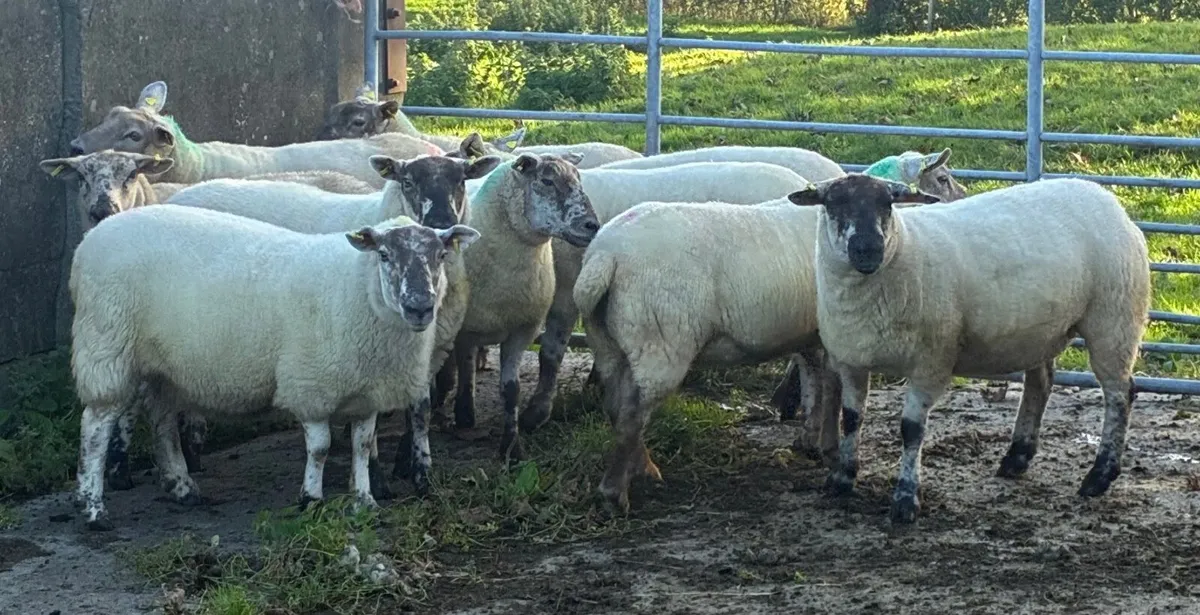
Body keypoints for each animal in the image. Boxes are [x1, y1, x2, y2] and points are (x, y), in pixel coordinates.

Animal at [70, 203, 479, 530]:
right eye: (383, 255)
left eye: (440, 255)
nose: (419, 306)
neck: (357, 290)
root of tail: (88, 241)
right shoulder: (311, 383)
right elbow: (321, 447)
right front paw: (311, 499)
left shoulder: (367, 389)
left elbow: (362, 446)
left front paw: (365, 501)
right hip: (107, 344)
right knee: (96, 428)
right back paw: (93, 509)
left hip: (163, 365)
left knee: (163, 421)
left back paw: (181, 487)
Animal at [426, 153, 600, 467]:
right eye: (546, 181)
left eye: (579, 178)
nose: (592, 225)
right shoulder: (465, 327)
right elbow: (463, 365)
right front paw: (463, 412)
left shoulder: (522, 329)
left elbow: (511, 390)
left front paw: (512, 448)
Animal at [788, 175, 1150, 524]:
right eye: (833, 204)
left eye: (887, 205)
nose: (868, 249)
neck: (902, 251)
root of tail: (1105, 196)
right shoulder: (851, 360)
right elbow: (851, 419)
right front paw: (842, 479)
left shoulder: (930, 361)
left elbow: (911, 430)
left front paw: (906, 498)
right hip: (1042, 330)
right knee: (1041, 382)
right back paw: (1017, 457)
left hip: (1113, 319)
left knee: (1120, 393)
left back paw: (1099, 476)